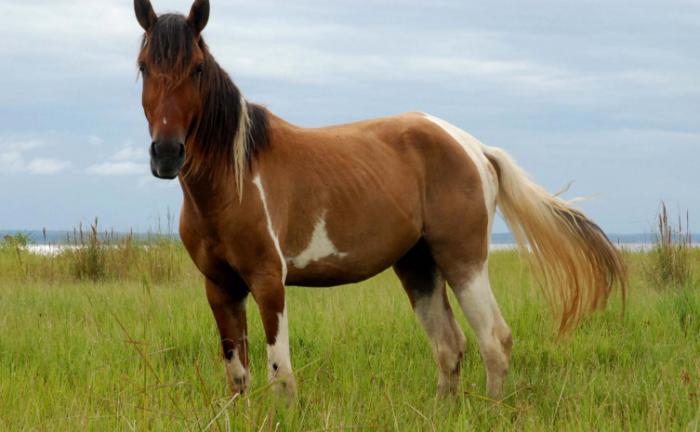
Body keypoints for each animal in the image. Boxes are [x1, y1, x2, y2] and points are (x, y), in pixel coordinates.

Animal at [134, 0, 628, 398]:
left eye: (197, 68)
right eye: (142, 67)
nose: (167, 154)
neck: (235, 178)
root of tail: (474, 146)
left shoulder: (268, 280)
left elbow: (281, 375)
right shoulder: (220, 286)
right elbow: (238, 376)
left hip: (463, 260)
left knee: (494, 340)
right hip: (418, 265)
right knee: (449, 346)